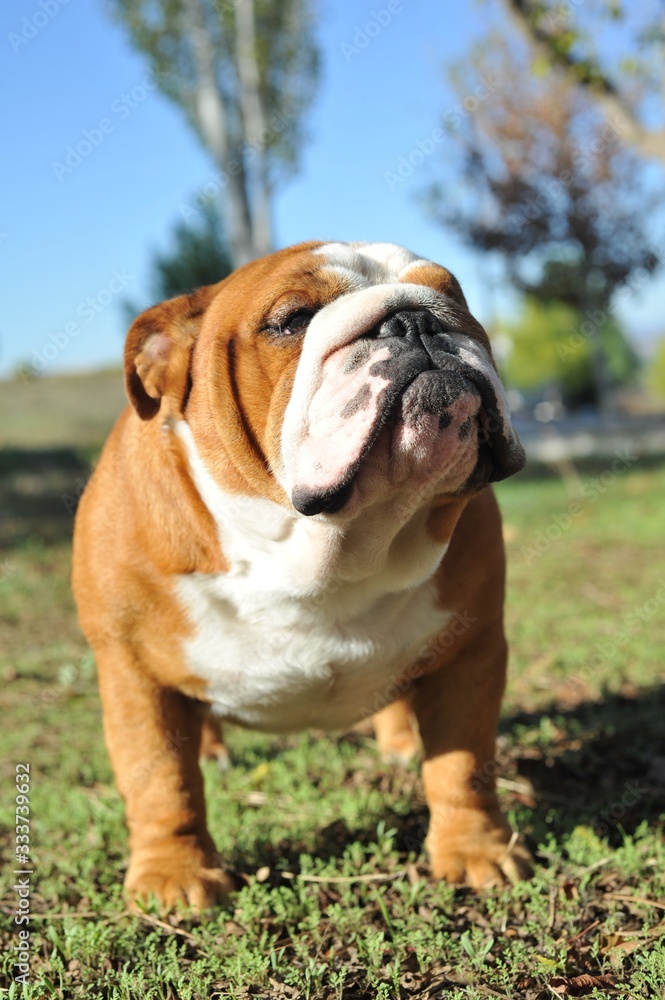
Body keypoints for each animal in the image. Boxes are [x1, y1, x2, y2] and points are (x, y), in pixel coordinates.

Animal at [71, 240, 528, 908]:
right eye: (291, 321)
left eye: (456, 297)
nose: (416, 318)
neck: (325, 553)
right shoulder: (134, 673)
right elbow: (161, 780)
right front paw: (173, 877)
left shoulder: (470, 651)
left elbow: (463, 765)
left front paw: (475, 852)